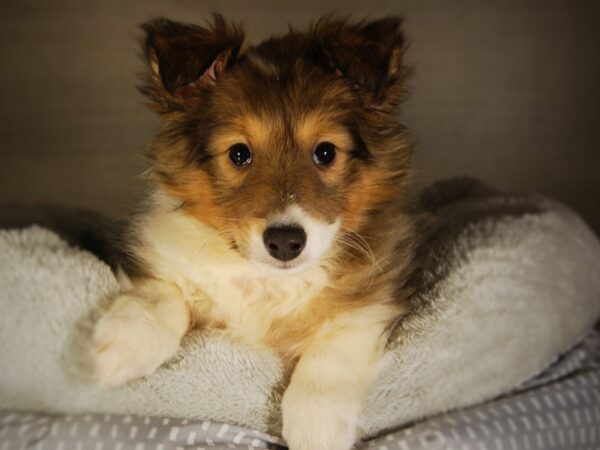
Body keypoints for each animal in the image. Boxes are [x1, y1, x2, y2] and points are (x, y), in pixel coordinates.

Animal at [94, 14, 420, 450]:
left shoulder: (374, 296)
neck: (267, 281)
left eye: (326, 152)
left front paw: (317, 424)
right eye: (238, 153)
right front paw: (121, 346)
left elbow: (336, 344)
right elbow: (162, 295)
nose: (285, 242)